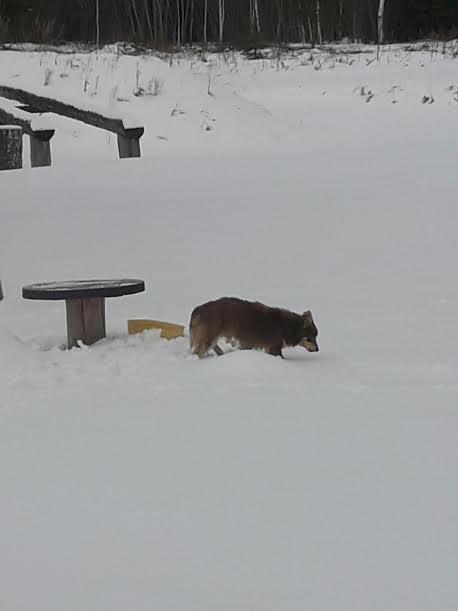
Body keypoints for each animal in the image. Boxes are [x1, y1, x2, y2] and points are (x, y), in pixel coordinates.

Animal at [190, 298, 318, 358]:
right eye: (310, 338)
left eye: (316, 337)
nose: (317, 350)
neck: (287, 326)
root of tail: (198, 309)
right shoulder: (274, 348)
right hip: (208, 339)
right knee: (198, 352)